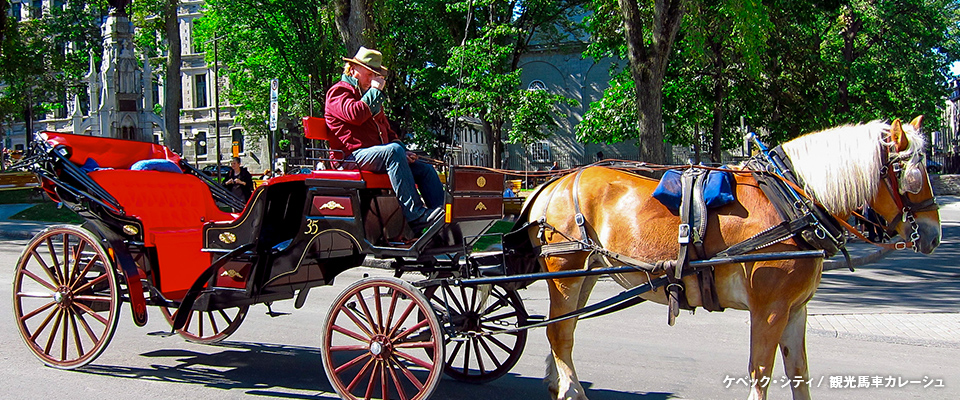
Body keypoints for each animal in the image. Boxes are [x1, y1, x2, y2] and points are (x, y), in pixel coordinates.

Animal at [520, 117, 940, 398]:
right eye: (911, 173)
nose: (933, 233)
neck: (792, 200)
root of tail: (554, 182)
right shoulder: (769, 309)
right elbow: (761, 370)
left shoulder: (796, 309)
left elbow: (799, 372)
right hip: (567, 271)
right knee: (558, 332)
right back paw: (571, 390)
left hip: (588, 272)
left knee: (567, 329)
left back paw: (558, 381)